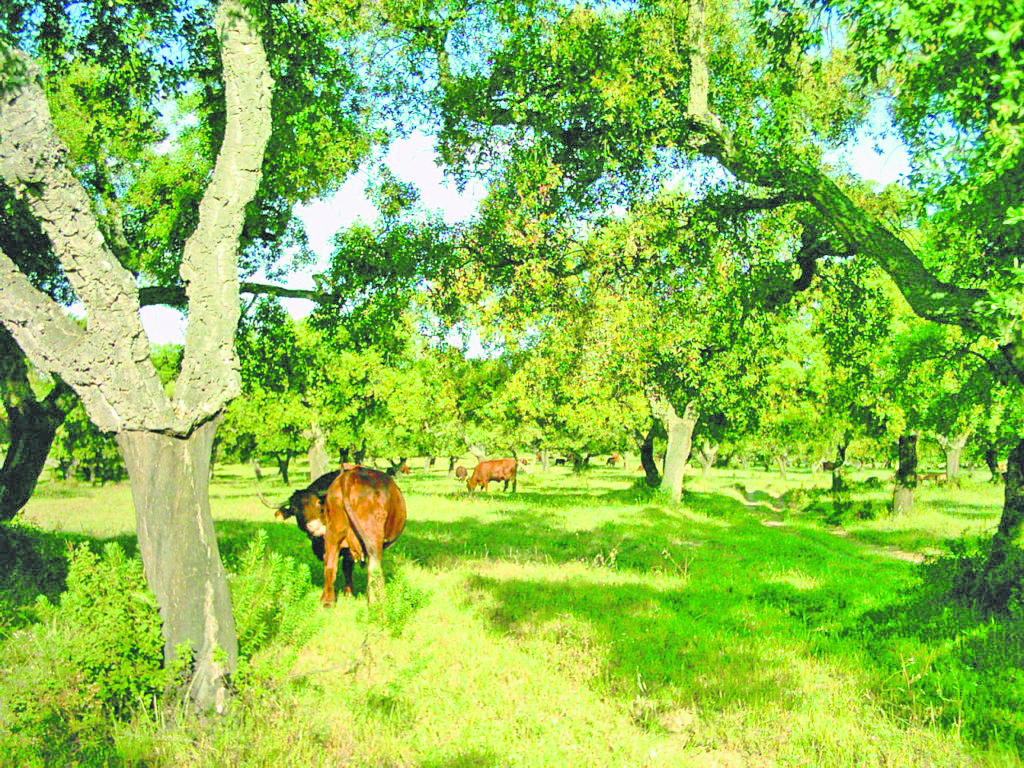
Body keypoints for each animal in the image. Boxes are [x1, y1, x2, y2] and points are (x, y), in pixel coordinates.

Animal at [294, 466, 405, 606]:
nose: (312, 527)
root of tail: (349, 477)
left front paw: (348, 594)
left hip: (333, 533)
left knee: (330, 564)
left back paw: (327, 600)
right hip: (372, 536)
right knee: (374, 566)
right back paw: (377, 601)